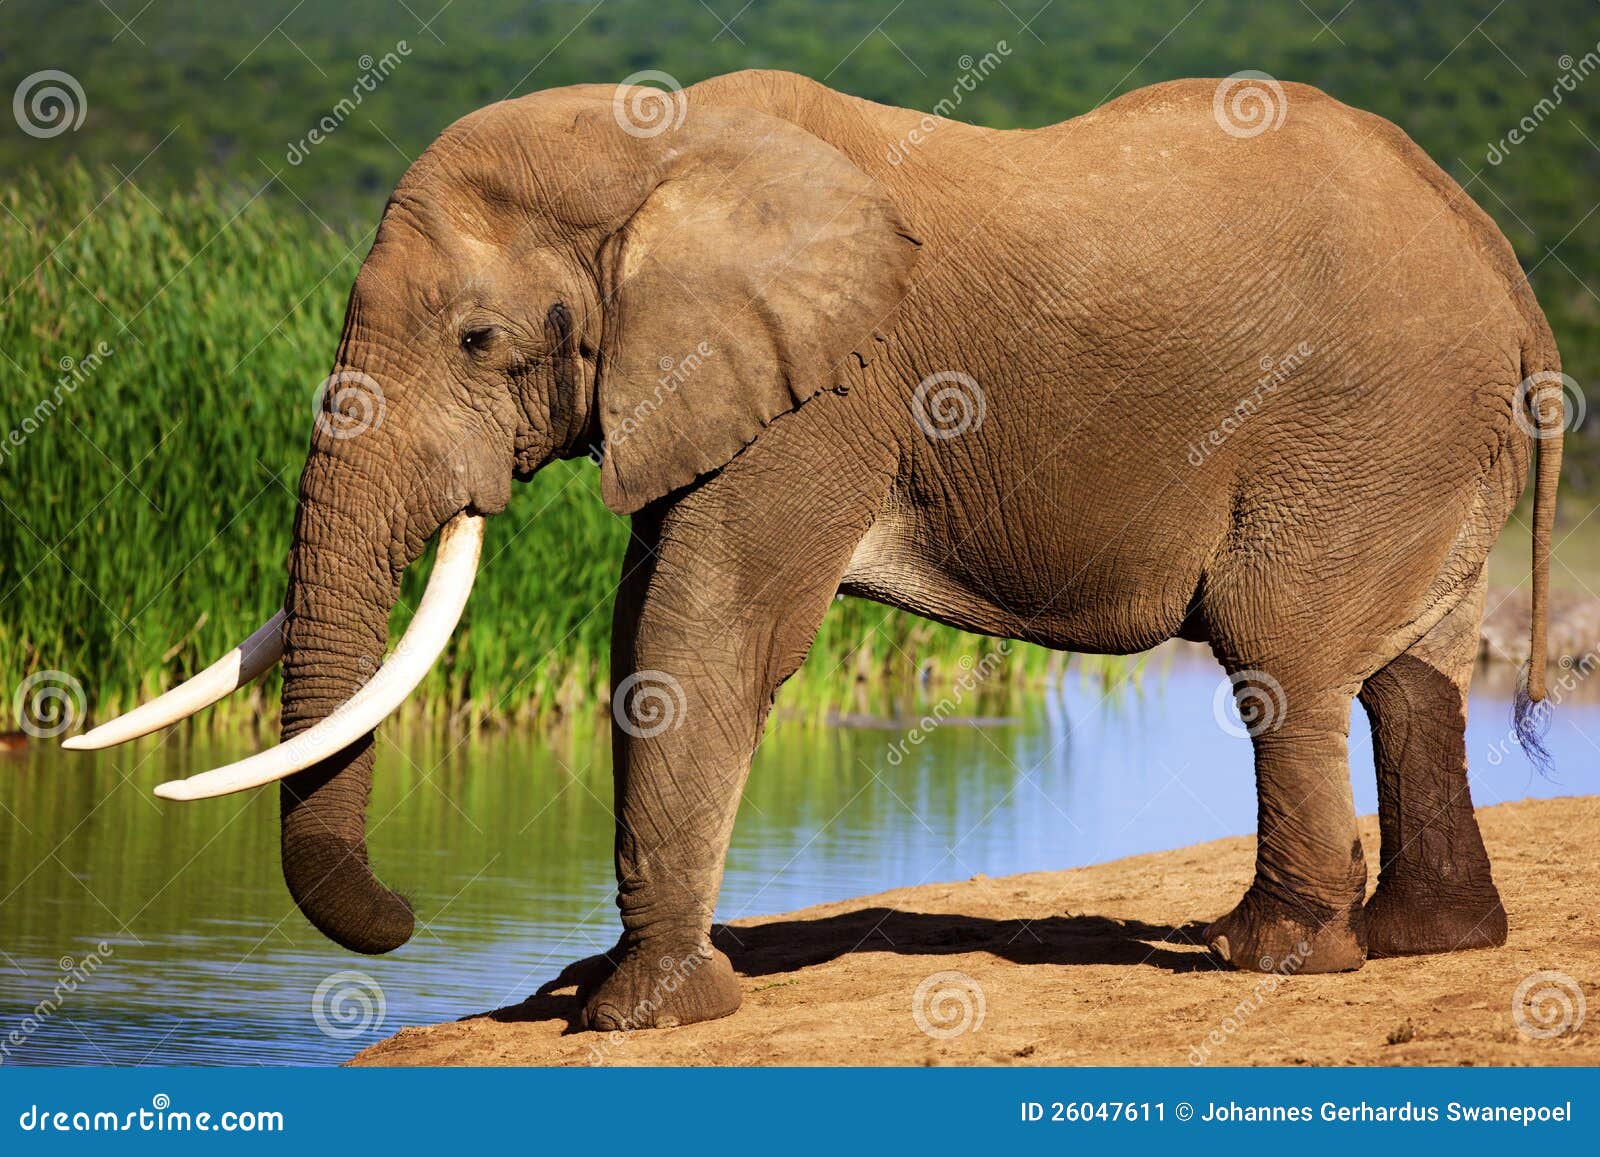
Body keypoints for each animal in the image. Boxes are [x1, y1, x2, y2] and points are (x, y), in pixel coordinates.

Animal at [68, 72, 1555, 1030]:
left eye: (481, 341)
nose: (408, 911)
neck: (664, 143)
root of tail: (1507, 267)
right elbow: (647, 621)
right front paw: (625, 993)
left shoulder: (827, 393)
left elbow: (706, 629)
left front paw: (641, 1017)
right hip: (1416, 444)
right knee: (1406, 674)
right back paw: (1429, 940)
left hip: (1363, 422)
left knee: (1281, 652)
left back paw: (1272, 957)